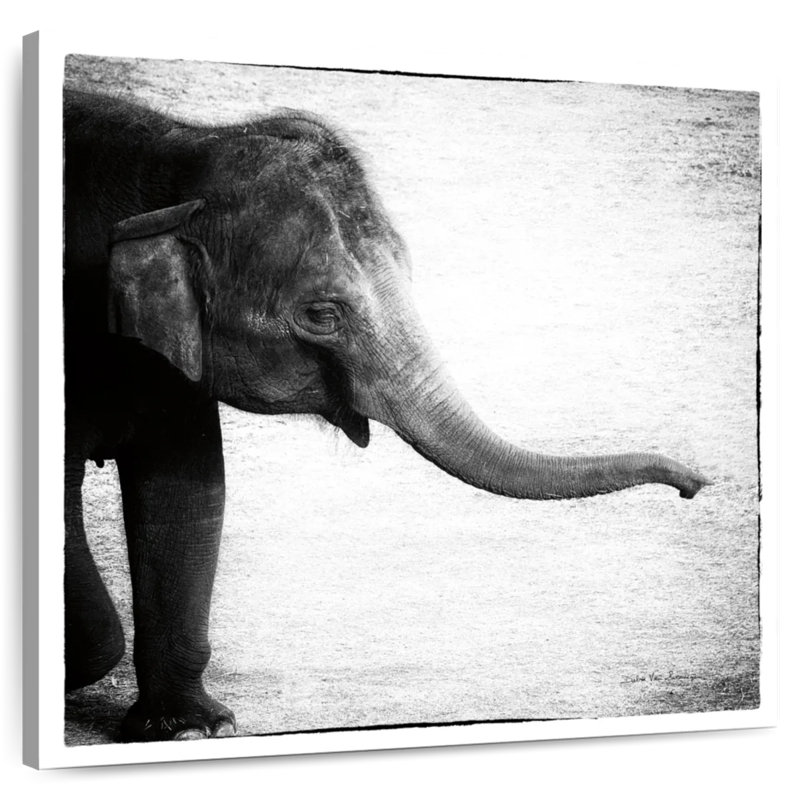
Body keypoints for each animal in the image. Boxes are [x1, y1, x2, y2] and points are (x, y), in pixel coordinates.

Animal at [63, 88, 709, 743]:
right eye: (322, 314)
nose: (697, 484)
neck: (180, 153)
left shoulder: (172, 358)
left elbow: (188, 491)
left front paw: (194, 730)